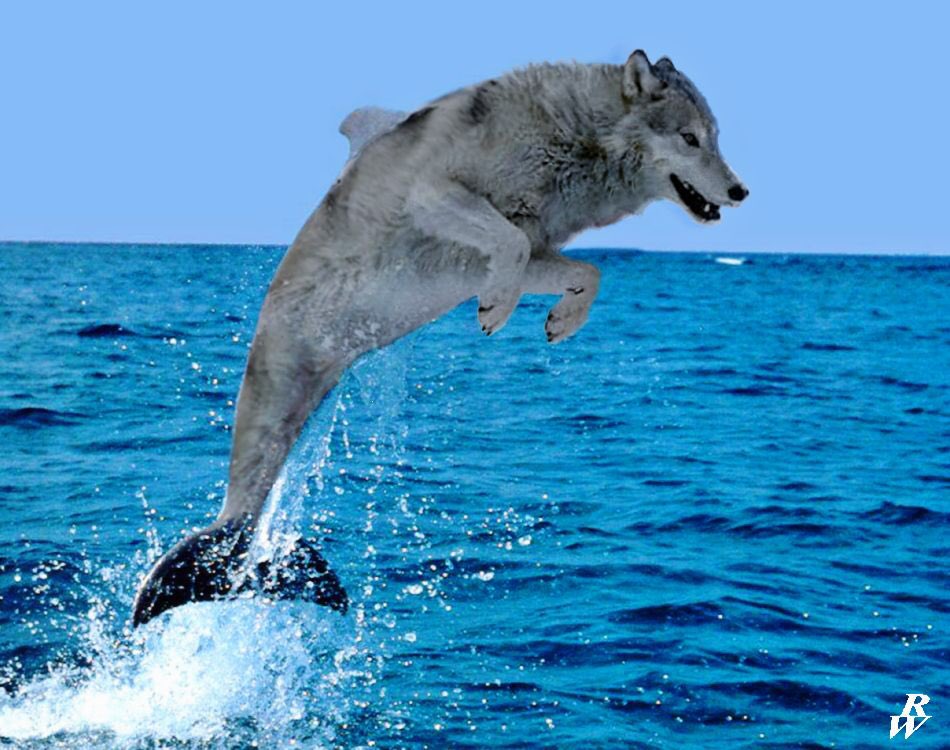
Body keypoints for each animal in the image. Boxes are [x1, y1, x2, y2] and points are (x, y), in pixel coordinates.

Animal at [132, 50, 748, 625]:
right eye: (689, 137)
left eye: (716, 135)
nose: (740, 191)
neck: (578, 135)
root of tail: (235, 533)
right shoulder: (436, 193)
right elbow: (507, 245)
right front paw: (496, 310)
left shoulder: (528, 243)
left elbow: (586, 272)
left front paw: (557, 321)